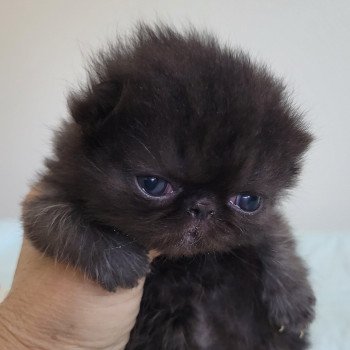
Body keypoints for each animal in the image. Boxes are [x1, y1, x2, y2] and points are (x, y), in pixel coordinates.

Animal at [22, 23, 318, 348]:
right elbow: (55, 220)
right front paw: (117, 257)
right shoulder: (48, 191)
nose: (203, 207)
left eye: (249, 201)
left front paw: (292, 297)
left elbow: (277, 236)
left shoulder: (265, 219)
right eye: (152, 185)